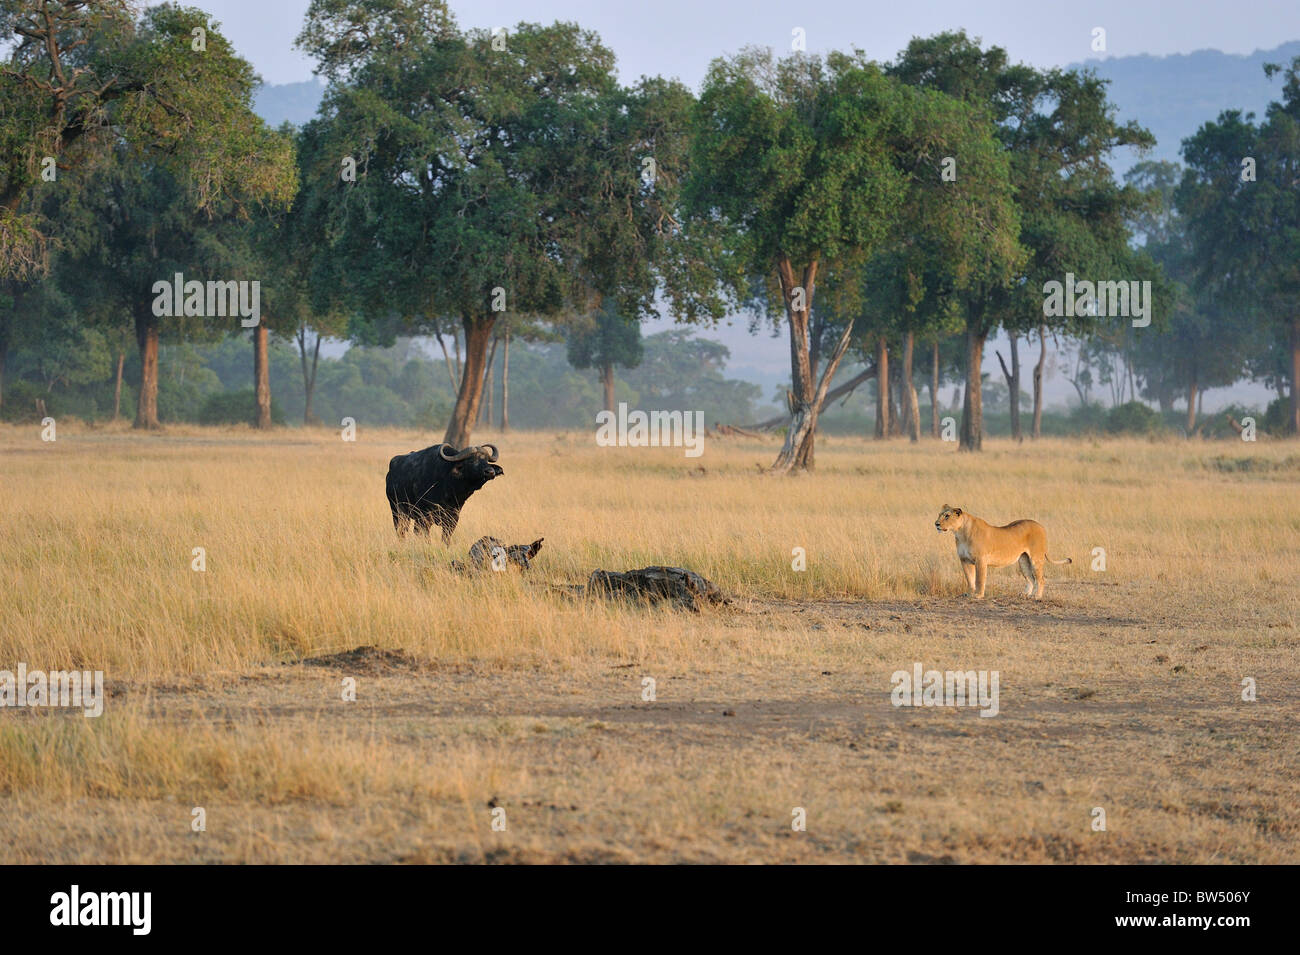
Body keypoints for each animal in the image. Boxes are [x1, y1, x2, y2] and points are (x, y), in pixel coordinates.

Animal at [934, 505, 1071, 600]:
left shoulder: (980, 560)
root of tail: (1041, 526)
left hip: (1036, 558)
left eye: (947, 516)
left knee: (1040, 579)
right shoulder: (964, 560)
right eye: (939, 514)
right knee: (1031, 578)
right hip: (1023, 560)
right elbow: (970, 579)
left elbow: (979, 579)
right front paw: (969, 593)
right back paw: (1024, 594)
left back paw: (1036, 597)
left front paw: (978, 595)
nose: (936, 524)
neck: (960, 532)